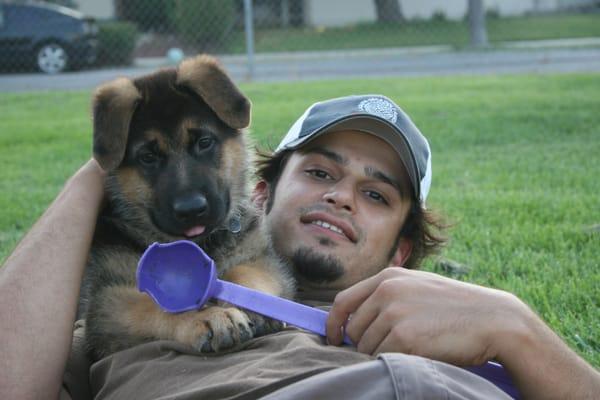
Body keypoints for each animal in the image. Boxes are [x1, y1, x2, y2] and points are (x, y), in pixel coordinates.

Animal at [79, 55, 296, 360]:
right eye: (148, 157)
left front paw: (253, 302)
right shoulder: (106, 302)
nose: (191, 209)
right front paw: (208, 317)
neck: (201, 245)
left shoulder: (262, 259)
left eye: (204, 142)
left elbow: (245, 272)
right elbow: (155, 303)